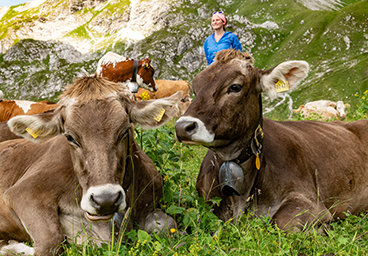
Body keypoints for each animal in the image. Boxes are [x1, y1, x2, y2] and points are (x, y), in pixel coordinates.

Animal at [0, 75, 181, 255]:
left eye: (124, 130)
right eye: (69, 137)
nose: (106, 200)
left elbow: (169, 225)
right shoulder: (23, 192)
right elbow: (50, 242)